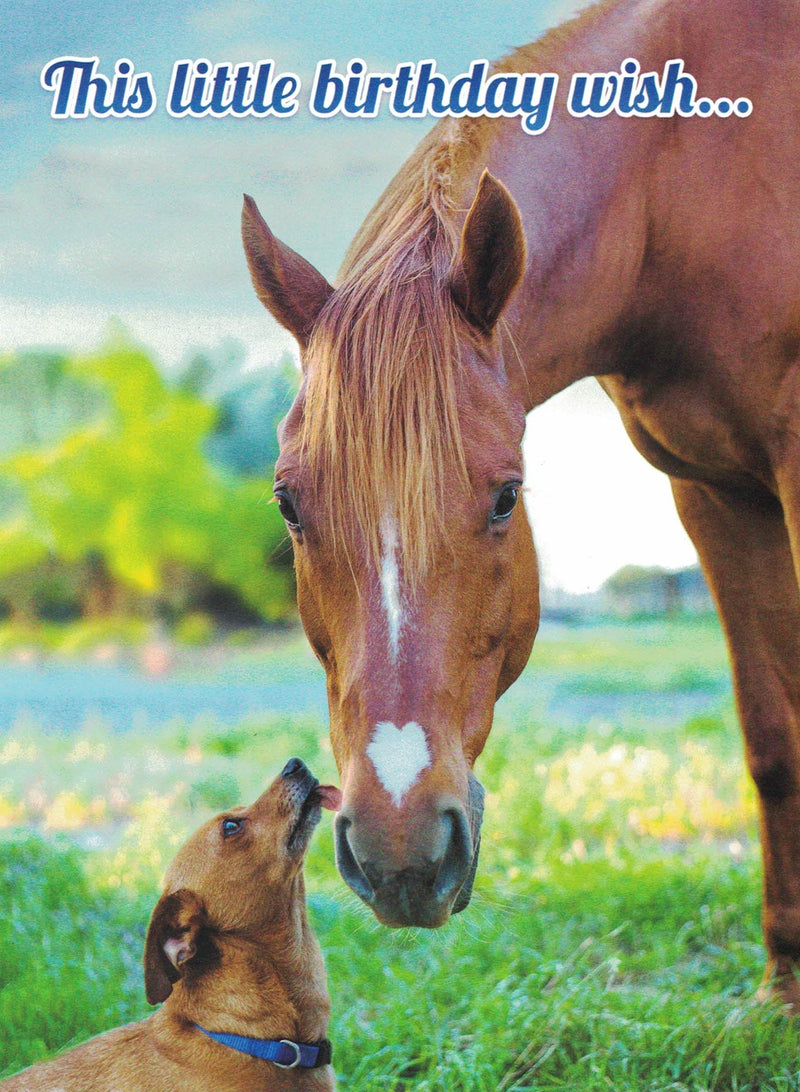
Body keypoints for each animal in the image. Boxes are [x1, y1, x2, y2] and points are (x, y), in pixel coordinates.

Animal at [242, 0, 800, 1005]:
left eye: (506, 497)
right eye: (288, 506)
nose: (400, 853)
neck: (686, 178)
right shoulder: (714, 491)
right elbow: (773, 739)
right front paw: (783, 992)